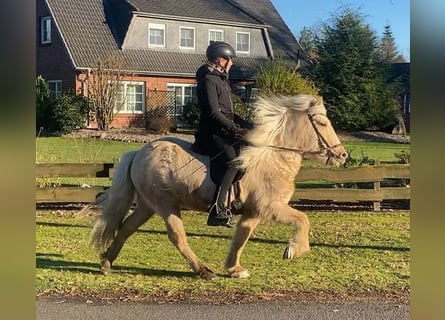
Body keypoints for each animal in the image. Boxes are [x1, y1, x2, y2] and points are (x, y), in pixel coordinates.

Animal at [90, 94, 346, 278]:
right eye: (321, 122)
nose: (342, 155)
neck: (272, 157)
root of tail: (139, 153)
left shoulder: (253, 212)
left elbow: (241, 237)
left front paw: (234, 269)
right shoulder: (269, 206)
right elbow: (303, 219)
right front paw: (294, 249)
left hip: (147, 205)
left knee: (127, 227)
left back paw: (106, 262)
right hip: (164, 204)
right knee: (176, 235)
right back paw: (203, 271)